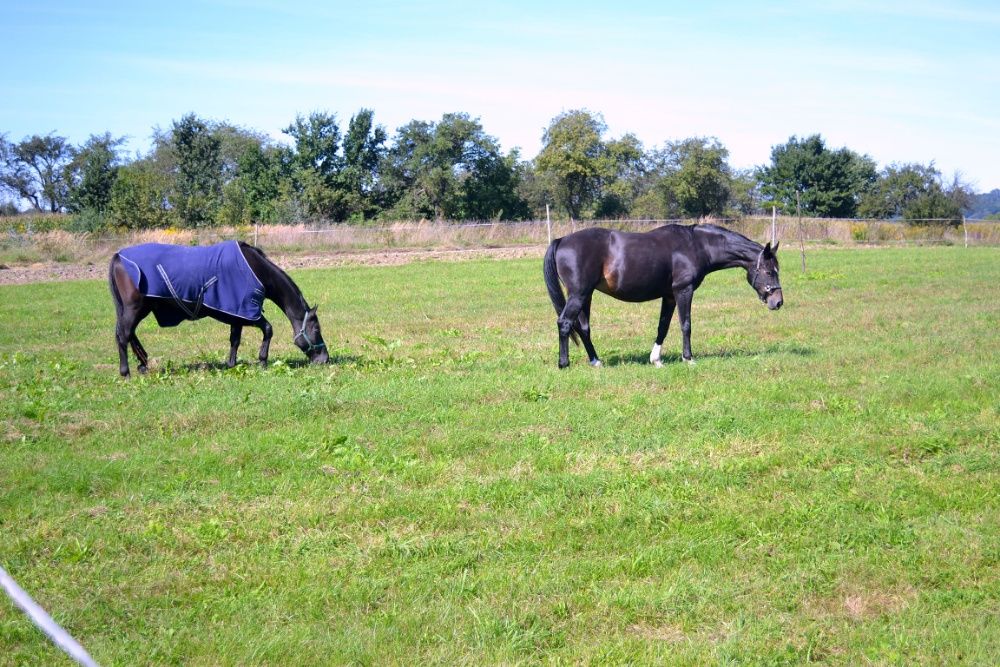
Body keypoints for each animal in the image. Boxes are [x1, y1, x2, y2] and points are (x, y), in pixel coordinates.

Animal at [108, 241, 330, 378]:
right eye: (317, 329)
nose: (325, 359)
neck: (254, 269)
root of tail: (118, 256)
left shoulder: (237, 314)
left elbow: (235, 340)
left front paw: (232, 364)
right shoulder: (248, 311)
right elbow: (268, 330)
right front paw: (262, 361)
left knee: (129, 335)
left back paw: (143, 364)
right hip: (134, 309)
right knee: (123, 336)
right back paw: (125, 372)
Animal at [544, 224, 784, 370]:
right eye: (769, 271)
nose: (778, 302)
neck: (696, 245)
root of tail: (562, 239)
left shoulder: (669, 296)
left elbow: (663, 327)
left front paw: (656, 360)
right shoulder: (683, 291)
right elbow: (686, 325)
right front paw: (689, 358)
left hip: (586, 295)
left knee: (583, 328)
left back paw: (596, 361)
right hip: (579, 294)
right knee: (565, 323)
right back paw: (563, 364)